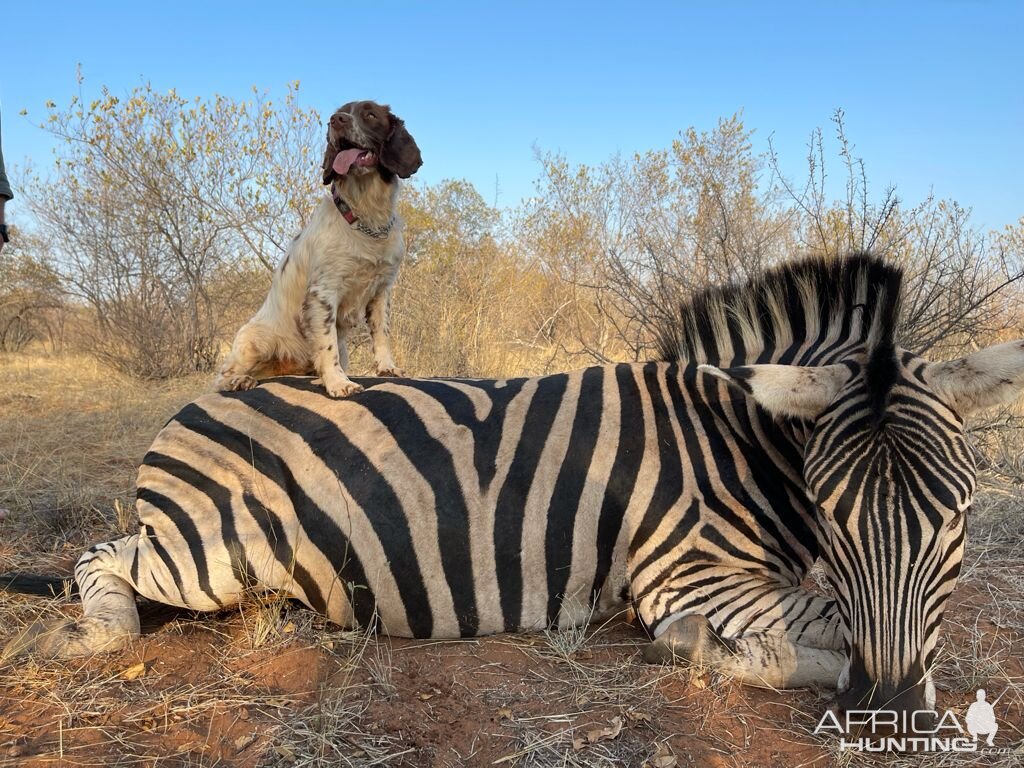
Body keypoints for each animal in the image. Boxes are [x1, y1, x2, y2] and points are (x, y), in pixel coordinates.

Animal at [2, 253, 1024, 720]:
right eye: (836, 516)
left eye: (957, 519)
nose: (889, 712)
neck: (734, 435)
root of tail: (201, 403)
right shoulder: (685, 573)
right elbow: (830, 623)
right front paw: (714, 653)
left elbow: (850, 626)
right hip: (214, 550)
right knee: (103, 556)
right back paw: (86, 635)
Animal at [214, 100, 421, 397]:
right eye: (341, 111)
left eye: (370, 114)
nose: (336, 120)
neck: (365, 218)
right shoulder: (323, 292)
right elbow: (326, 344)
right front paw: (338, 382)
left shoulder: (381, 291)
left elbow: (382, 334)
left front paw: (387, 368)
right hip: (255, 340)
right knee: (223, 374)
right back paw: (237, 381)